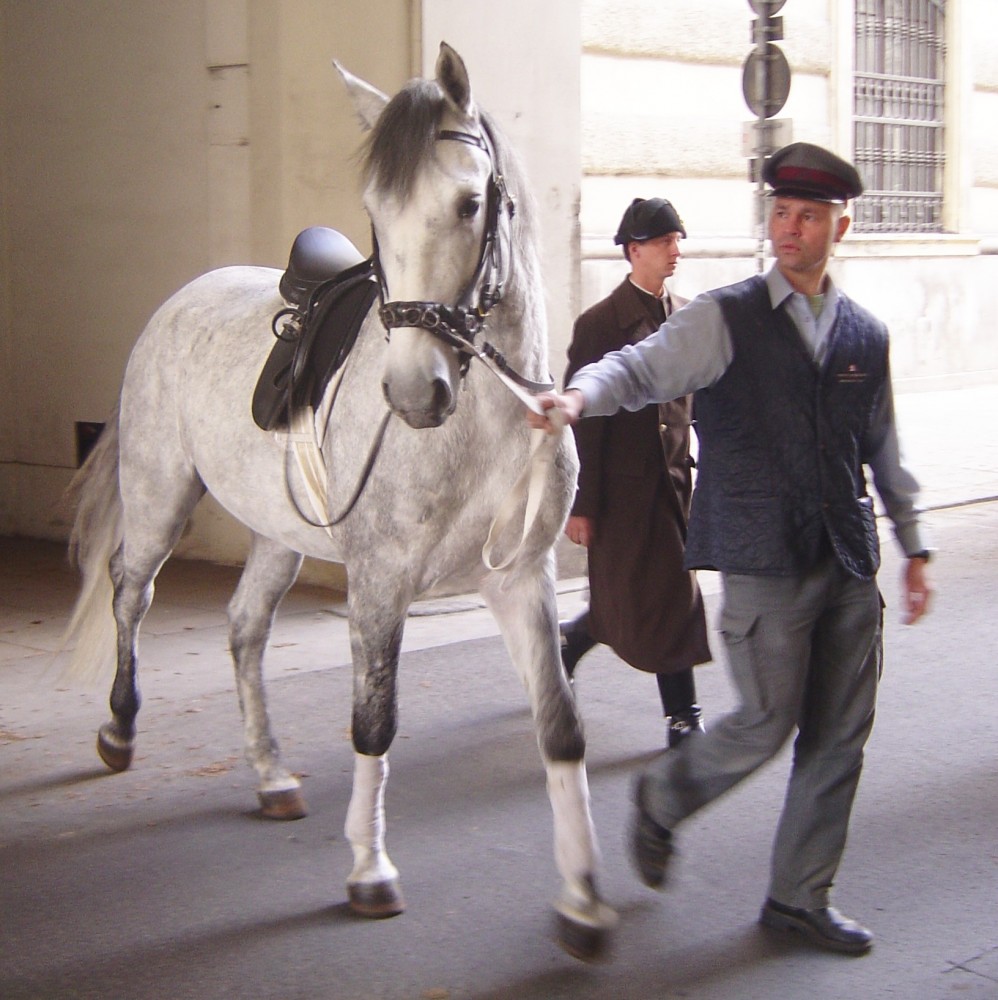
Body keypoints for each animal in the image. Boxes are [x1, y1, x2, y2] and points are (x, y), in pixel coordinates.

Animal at [64, 43, 616, 956]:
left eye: (470, 202)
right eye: (375, 212)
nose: (415, 391)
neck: (484, 427)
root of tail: (182, 298)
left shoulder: (520, 580)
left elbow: (561, 726)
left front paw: (583, 899)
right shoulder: (380, 580)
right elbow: (374, 723)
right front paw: (369, 869)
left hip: (278, 534)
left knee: (244, 628)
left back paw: (270, 775)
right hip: (158, 497)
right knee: (129, 594)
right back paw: (118, 729)